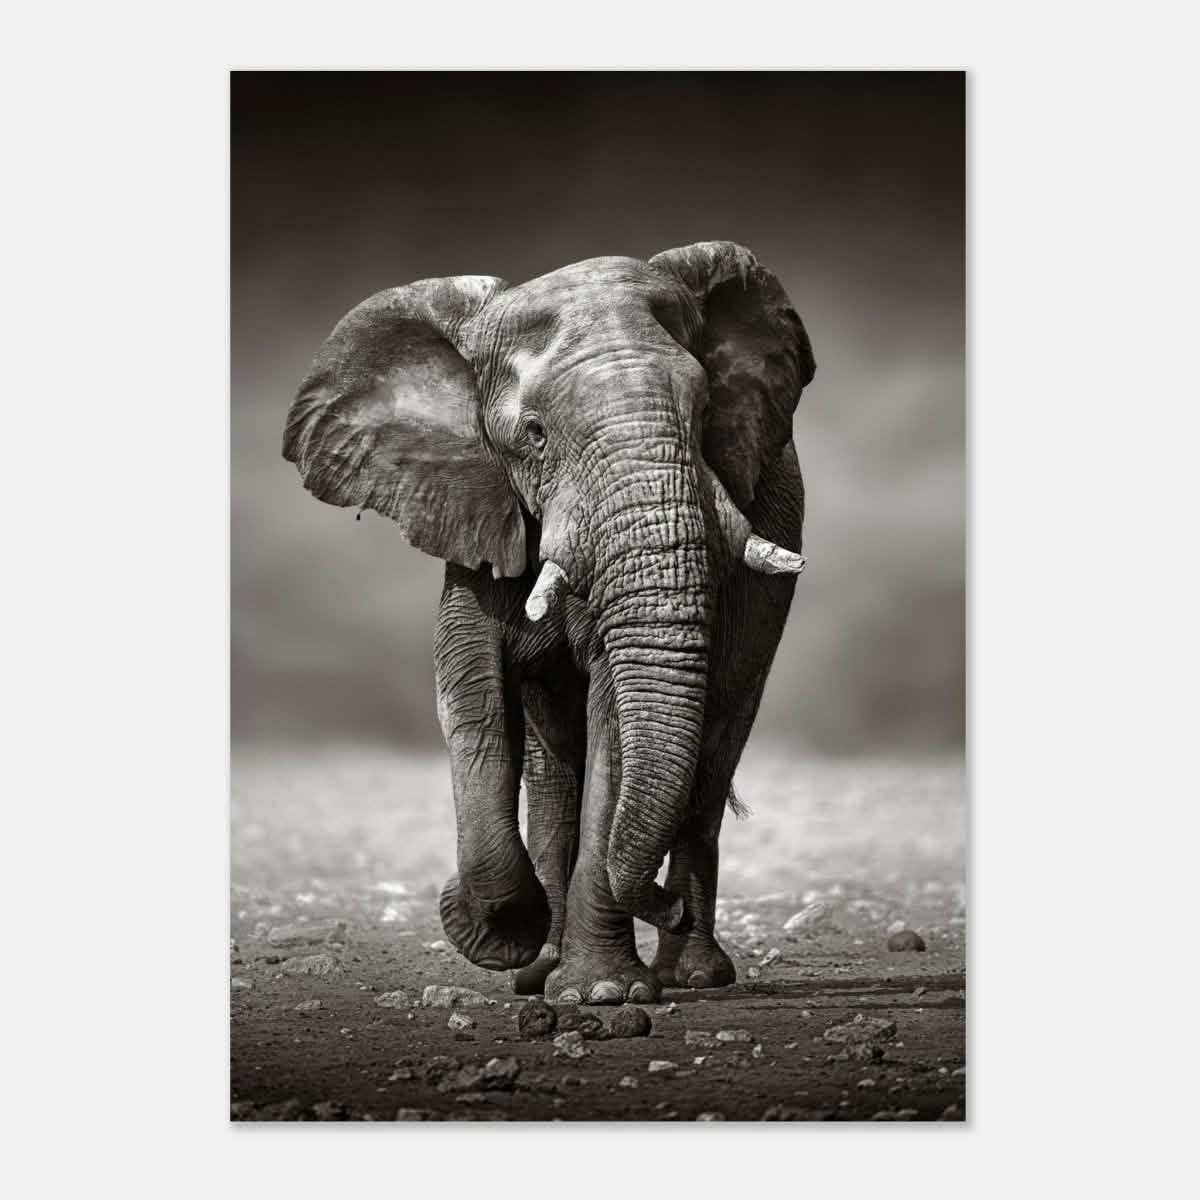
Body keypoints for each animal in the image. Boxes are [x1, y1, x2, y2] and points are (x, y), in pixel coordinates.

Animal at [283, 241, 815, 1004]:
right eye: (534, 436)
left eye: (706, 409)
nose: (661, 904)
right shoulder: (476, 507)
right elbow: (470, 694)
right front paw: (499, 933)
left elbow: (614, 716)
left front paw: (603, 994)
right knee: (554, 772)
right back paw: (542, 970)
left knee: (712, 751)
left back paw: (689, 974)